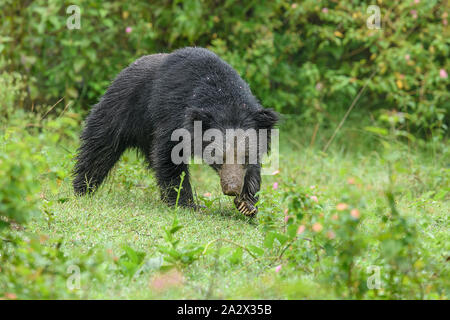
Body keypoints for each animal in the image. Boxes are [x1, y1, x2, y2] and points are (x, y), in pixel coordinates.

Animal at [73, 47, 278, 218]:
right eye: (217, 156)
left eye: (246, 156)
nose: (232, 189)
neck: (223, 95)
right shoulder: (173, 114)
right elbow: (170, 155)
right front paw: (187, 204)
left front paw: (247, 204)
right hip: (123, 107)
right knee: (100, 146)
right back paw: (83, 188)